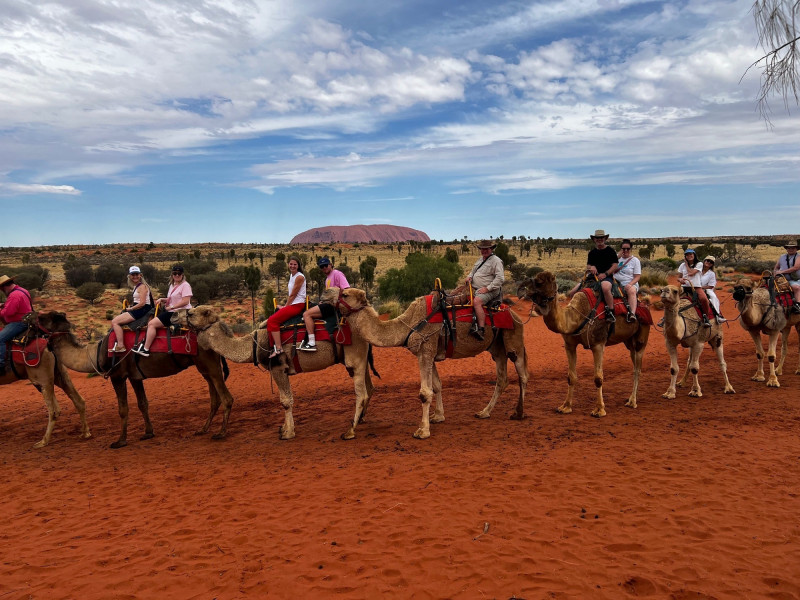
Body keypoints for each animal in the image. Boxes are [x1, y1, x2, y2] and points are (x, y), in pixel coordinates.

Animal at [37, 311, 234, 448]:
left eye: (46, 318)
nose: (32, 317)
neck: (96, 352)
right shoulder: (135, 377)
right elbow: (142, 403)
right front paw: (148, 433)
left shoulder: (117, 376)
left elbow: (123, 409)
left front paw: (120, 441)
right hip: (204, 367)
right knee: (214, 398)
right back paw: (203, 429)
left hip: (210, 364)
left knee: (226, 398)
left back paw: (220, 433)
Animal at [171, 305, 378, 440]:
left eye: (191, 313)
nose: (173, 316)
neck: (254, 344)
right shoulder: (282, 370)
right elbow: (286, 400)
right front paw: (284, 429)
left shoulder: (278, 367)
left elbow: (285, 401)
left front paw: (287, 433)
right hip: (361, 357)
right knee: (369, 388)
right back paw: (361, 420)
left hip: (355, 356)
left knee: (361, 393)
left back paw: (350, 431)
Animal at [327, 286, 528, 439]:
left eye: (345, 294)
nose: (326, 293)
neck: (409, 323)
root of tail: (515, 314)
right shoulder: (429, 353)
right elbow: (436, 386)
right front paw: (438, 416)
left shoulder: (426, 350)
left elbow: (424, 393)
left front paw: (422, 430)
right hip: (496, 347)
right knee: (502, 378)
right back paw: (484, 412)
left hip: (513, 339)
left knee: (522, 374)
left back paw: (518, 412)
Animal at [517, 271, 649, 417]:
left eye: (539, 282)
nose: (520, 289)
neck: (576, 317)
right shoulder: (569, 345)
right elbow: (571, 376)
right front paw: (565, 406)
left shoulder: (598, 344)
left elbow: (598, 378)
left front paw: (599, 410)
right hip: (629, 342)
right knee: (634, 362)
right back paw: (630, 398)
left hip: (641, 338)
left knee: (638, 368)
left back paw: (632, 402)